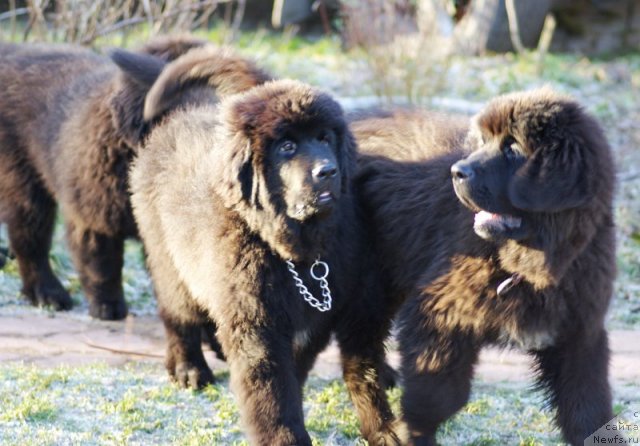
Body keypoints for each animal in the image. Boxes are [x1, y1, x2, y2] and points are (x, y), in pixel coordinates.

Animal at [0, 36, 268, 318]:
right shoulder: (94, 217)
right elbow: (101, 265)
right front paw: (108, 308)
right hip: (24, 183)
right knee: (30, 240)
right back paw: (48, 294)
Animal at [129, 78, 400, 444]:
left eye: (324, 138)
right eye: (286, 146)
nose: (327, 171)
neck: (287, 250)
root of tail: (173, 123)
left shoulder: (312, 318)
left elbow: (294, 372)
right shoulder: (256, 323)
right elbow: (271, 388)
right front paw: (285, 436)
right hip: (169, 258)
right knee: (178, 315)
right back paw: (189, 369)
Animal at [352, 88, 616, 446]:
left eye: (514, 148)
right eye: (485, 141)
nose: (456, 171)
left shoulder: (579, 333)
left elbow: (588, 410)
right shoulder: (440, 315)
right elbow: (438, 395)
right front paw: (413, 431)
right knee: (358, 360)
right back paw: (381, 428)